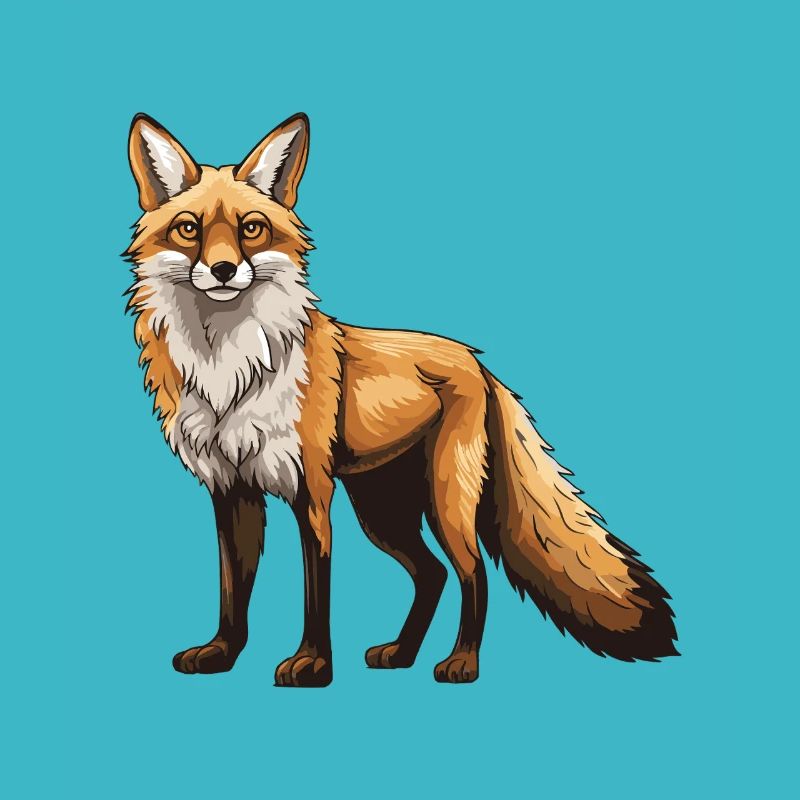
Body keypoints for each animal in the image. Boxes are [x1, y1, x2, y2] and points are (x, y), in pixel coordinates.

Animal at [124, 112, 677, 686]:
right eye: (189, 229)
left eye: (251, 229)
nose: (224, 270)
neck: (229, 372)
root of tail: (477, 361)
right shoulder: (231, 490)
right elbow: (233, 588)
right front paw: (222, 653)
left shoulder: (311, 490)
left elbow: (316, 590)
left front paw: (314, 663)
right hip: (382, 510)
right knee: (432, 574)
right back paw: (402, 653)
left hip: (443, 501)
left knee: (473, 572)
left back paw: (462, 663)